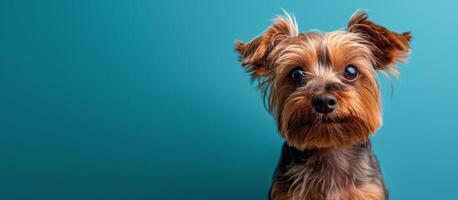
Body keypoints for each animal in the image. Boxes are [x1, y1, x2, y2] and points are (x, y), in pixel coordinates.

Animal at [236, 10, 412, 200]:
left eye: (351, 71)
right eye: (296, 74)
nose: (324, 101)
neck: (329, 149)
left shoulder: (369, 191)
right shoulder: (285, 192)